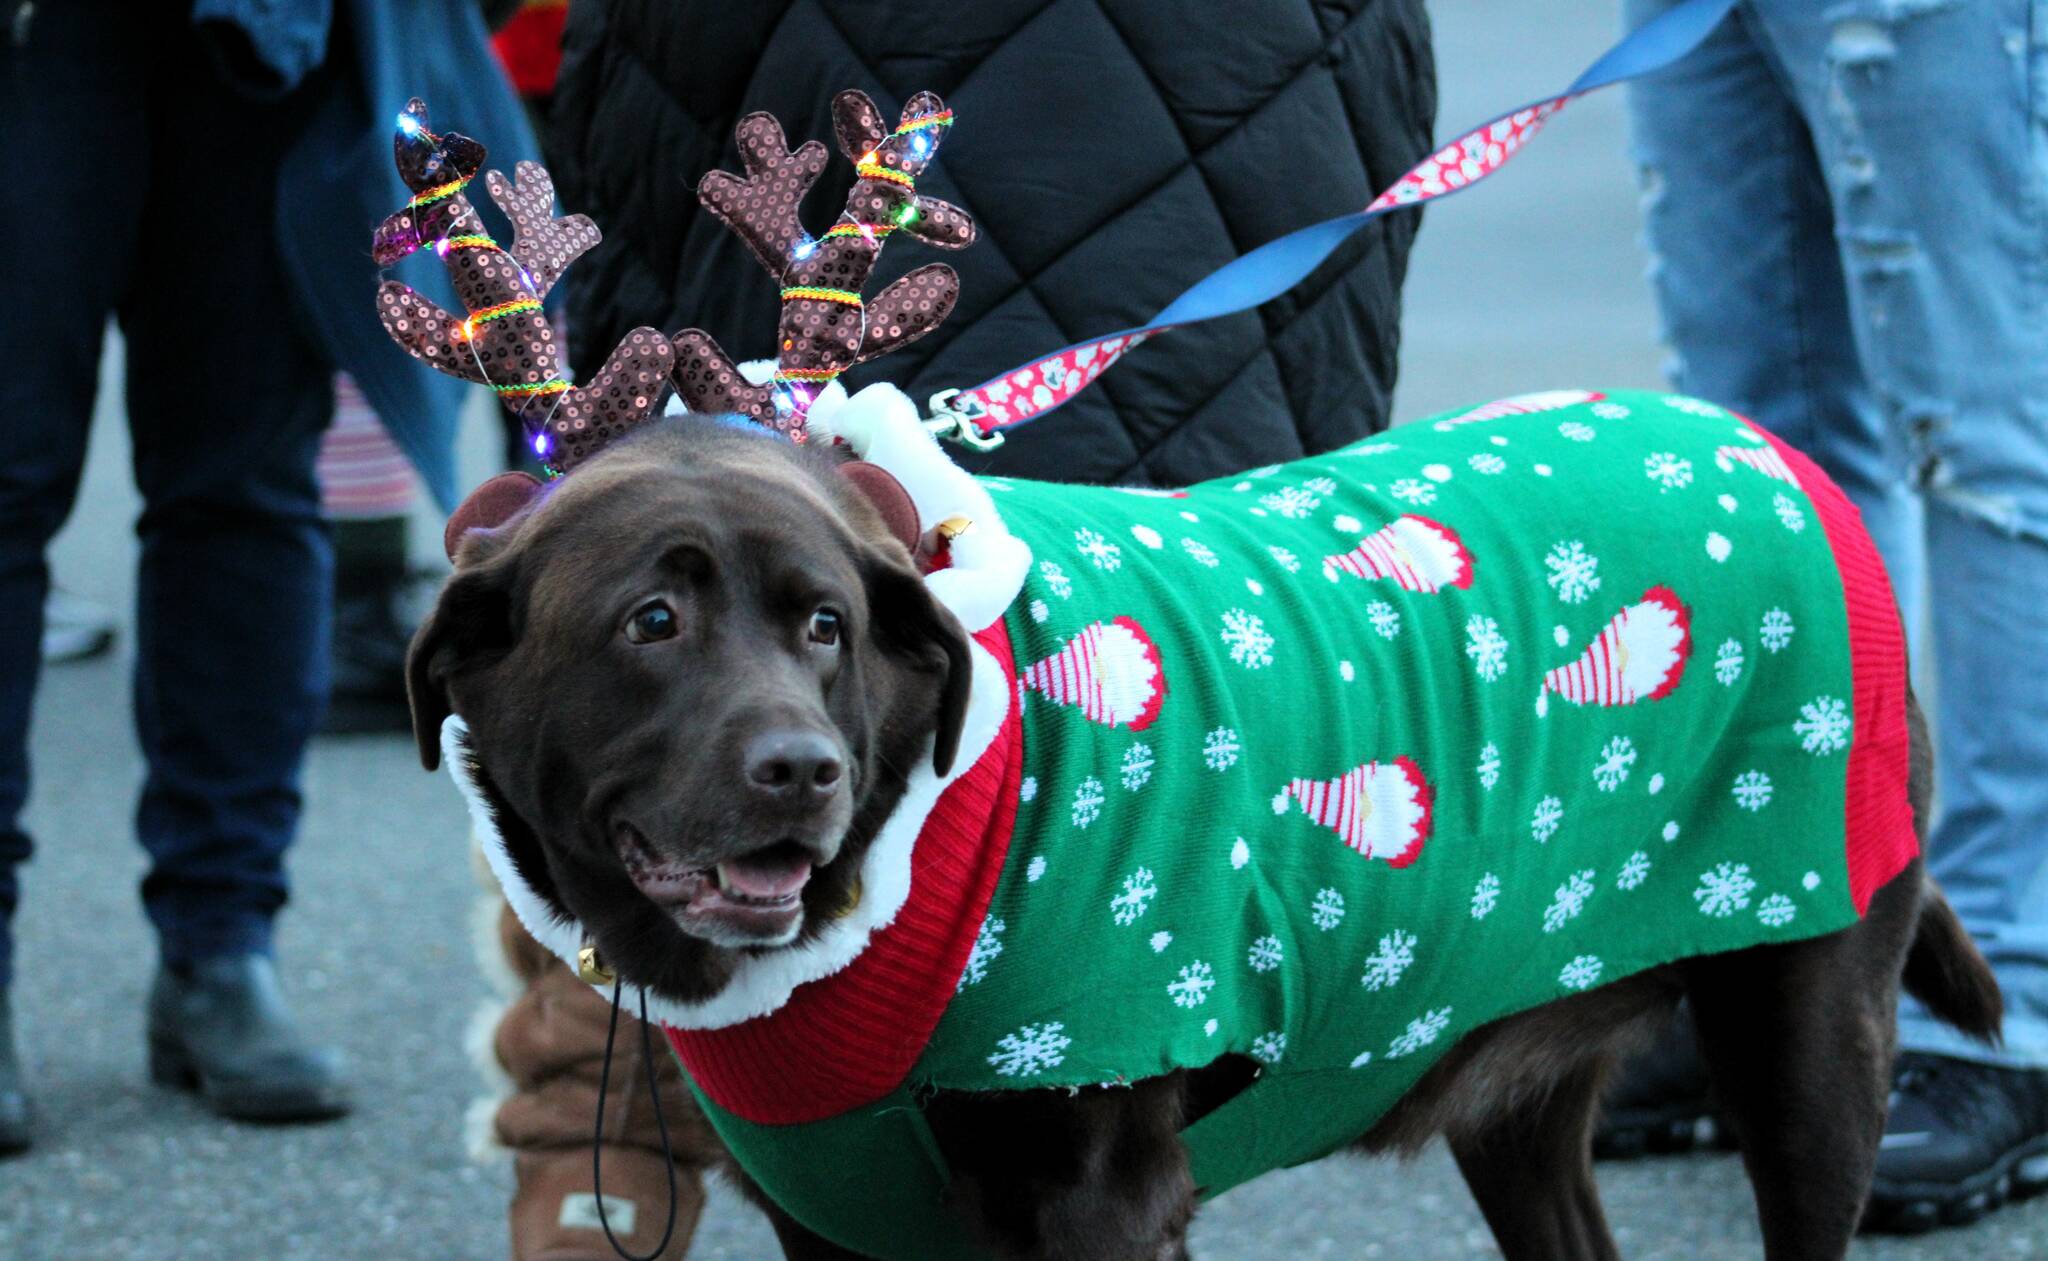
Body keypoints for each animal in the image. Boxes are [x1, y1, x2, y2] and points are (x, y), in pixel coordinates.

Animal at [411, 419, 1998, 1261]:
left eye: (825, 625)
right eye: (650, 620)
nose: (800, 768)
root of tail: (1774, 450)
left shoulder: (1101, 1197)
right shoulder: (836, 1215)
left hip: (1811, 1032)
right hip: (1519, 1083)